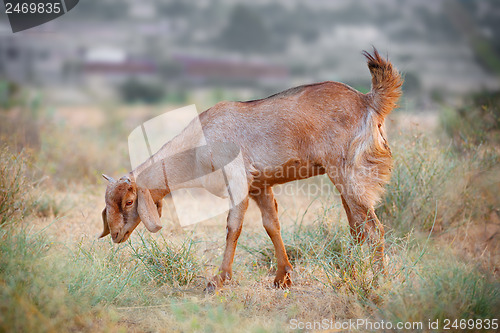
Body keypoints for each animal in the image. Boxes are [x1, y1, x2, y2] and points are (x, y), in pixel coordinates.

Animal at [100, 48, 402, 290]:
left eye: (129, 202)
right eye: (108, 204)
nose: (115, 235)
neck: (199, 141)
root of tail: (368, 101)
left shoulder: (238, 180)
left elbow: (233, 227)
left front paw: (218, 280)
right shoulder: (260, 186)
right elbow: (272, 225)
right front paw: (282, 277)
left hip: (349, 175)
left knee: (373, 229)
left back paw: (379, 281)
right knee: (357, 228)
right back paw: (352, 275)